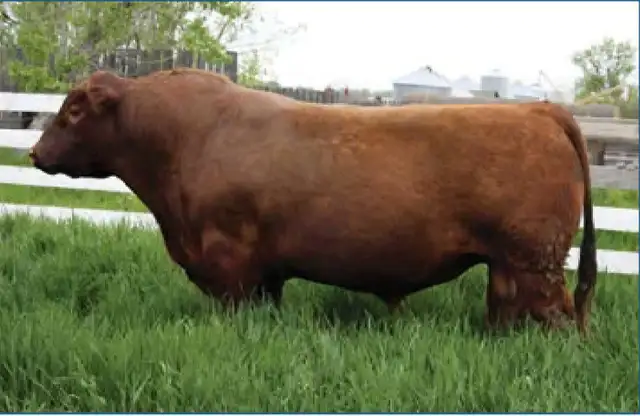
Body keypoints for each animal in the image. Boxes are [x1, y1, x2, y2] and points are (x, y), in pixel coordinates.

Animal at [29, 68, 597, 334]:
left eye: (74, 110)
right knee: (507, 310)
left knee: (556, 319)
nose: (35, 152)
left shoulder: (230, 262)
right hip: (508, 265)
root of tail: (538, 109)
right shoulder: (265, 273)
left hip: (535, 261)